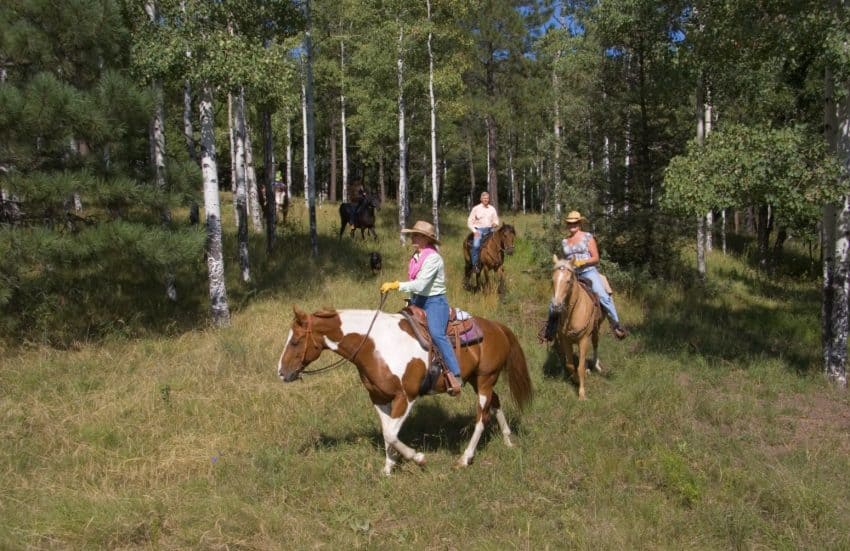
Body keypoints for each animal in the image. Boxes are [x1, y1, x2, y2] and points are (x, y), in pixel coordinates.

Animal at [278, 306, 528, 474]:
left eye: (295, 341)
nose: (281, 372)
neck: (375, 345)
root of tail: (497, 327)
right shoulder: (379, 398)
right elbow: (387, 432)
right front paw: (388, 468)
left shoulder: (406, 397)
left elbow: (391, 434)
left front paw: (417, 458)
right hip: (478, 380)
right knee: (496, 402)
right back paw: (508, 440)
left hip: (485, 379)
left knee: (481, 417)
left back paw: (465, 458)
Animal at [548, 254, 604, 402]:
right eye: (552, 280)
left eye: (568, 281)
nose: (556, 306)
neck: (574, 312)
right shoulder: (566, 340)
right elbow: (570, 365)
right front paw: (576, 379)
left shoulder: (583, 340)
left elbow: (579, 367)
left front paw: (582, 393)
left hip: (596, 329)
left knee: (595, 344)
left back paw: (596, 366)